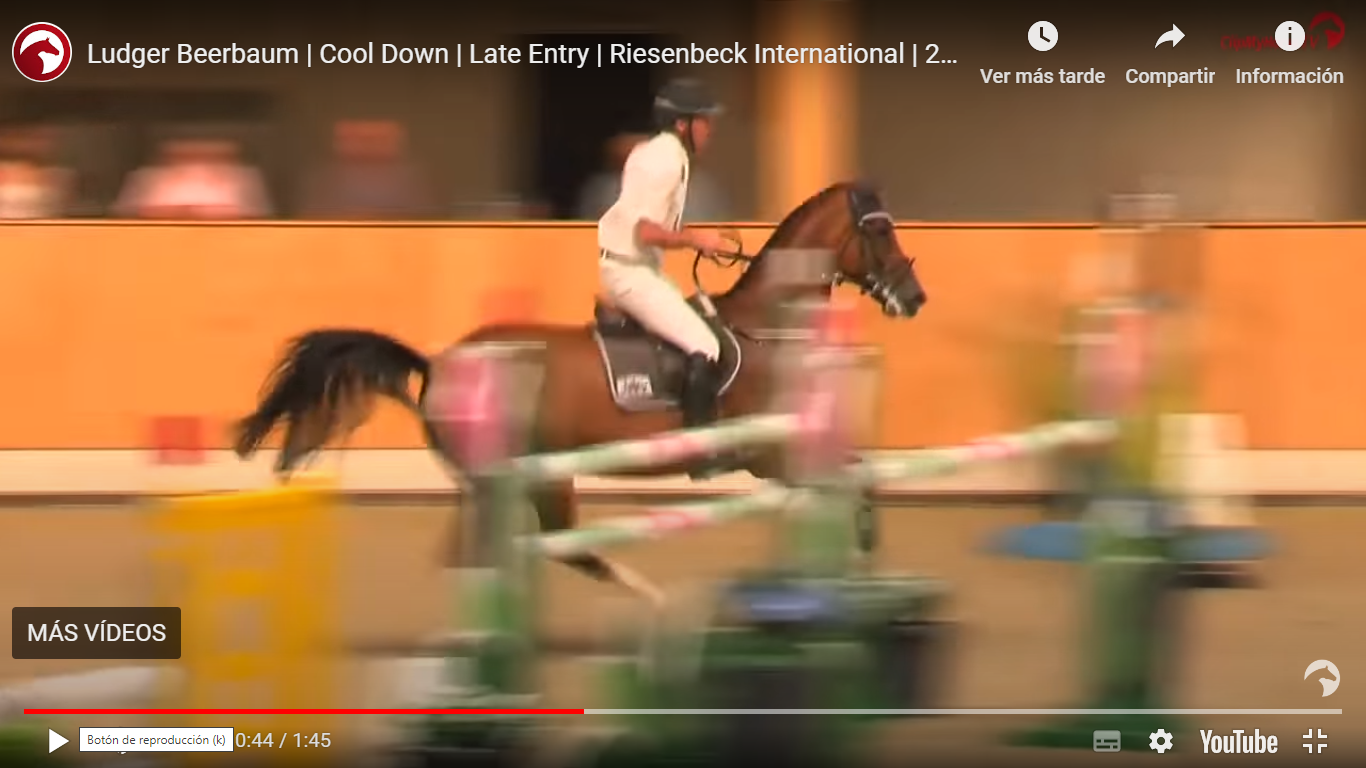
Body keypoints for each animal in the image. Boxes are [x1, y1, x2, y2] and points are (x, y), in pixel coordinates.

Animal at [232, 180, 927, 607]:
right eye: (879, 231)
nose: (914, 298)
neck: (764, 325)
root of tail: (440, 364)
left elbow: (859, 474)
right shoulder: (768, 453)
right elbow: (853, 478)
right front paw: (862, 558)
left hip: (498, 481)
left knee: (480, 557)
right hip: (534, 475)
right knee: (557, 548)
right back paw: (650, 602)